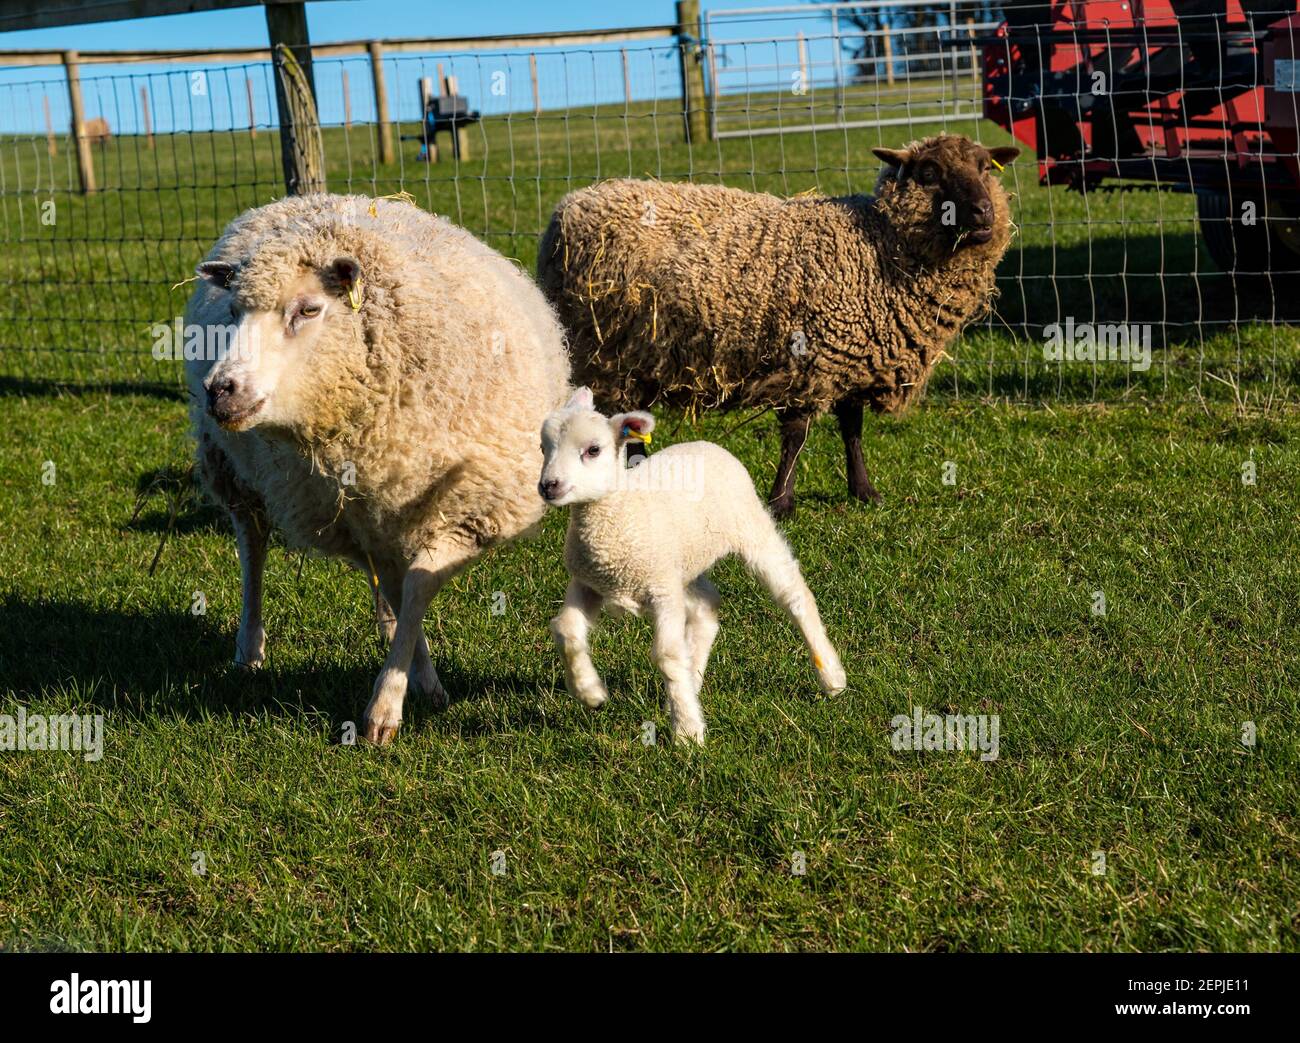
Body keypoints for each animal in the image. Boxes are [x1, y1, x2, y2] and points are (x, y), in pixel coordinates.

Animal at [535, 384, 847, 738]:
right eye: (543, 447)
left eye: (593, 450)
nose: (549, 486)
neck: (619, 514)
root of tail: (706, 443)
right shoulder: (588, 582)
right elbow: (566, 630)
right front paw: (590, 692)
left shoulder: (662, 590)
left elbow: (667, 655)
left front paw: (687, 732)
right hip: (684, 564)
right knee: (707, 606)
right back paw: (692, 680)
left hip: (751, 528)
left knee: (794, 595)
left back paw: (831, 677)